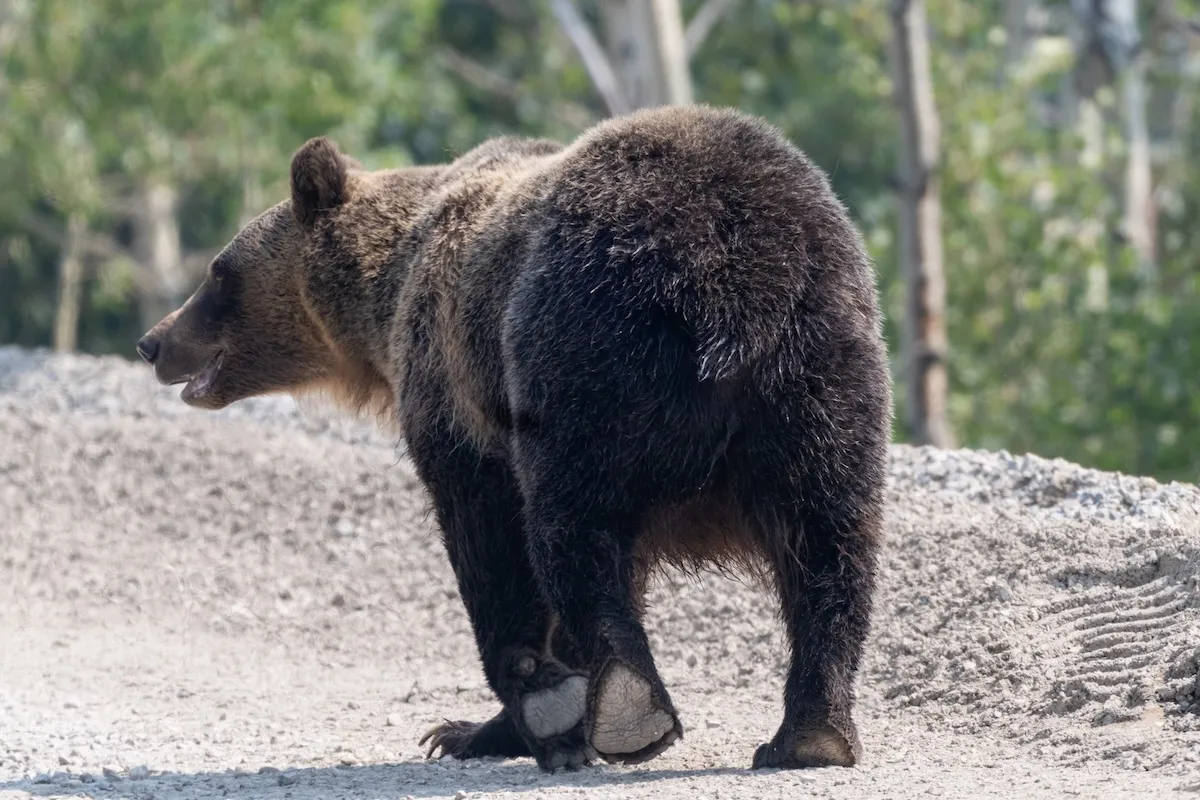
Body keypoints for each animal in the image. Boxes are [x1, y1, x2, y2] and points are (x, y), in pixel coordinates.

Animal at [136, 104, 893, 773]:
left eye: (219, 271)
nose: (154, 340)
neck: (387, 293)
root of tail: (731, 281)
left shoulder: (452, 385)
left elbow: (489, 538)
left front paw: (515, 712)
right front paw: (484, 726)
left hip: (587, 350)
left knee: (573, 526)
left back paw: (628, 707)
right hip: (822, 378)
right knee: (829, 545)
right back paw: (810, 733)